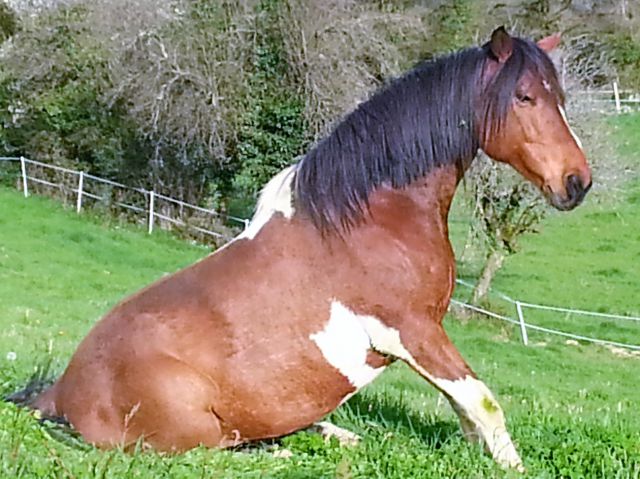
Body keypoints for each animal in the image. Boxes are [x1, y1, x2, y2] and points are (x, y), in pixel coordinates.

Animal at [27, 27, 592, 472]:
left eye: (558, 96)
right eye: (524, 97)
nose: (577, 182)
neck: (371, 218)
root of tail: (63, 392)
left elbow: (466, 408)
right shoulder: (414, 332)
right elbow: (481, 401)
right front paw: (513, 466)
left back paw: (336, 434)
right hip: (191, 431)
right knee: (223, 446)